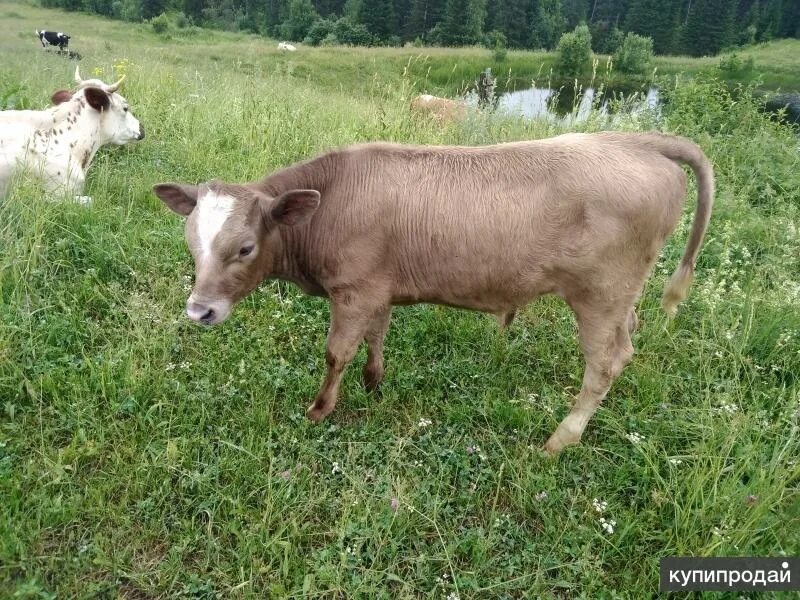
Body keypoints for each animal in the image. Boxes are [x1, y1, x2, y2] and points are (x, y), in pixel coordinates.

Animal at [153, 132, 716, 454]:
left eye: (245, 248)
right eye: (191, 241)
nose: (199, 310)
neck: (331, 202)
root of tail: (637, 141)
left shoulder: (353, 290)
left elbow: (336, 353)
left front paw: (320, 409)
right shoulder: (377, 287)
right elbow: (377, 335)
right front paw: (374, 381)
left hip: (600, 294)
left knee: (606, 362)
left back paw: (560, 440)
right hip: (623, 296)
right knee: (630, 335)